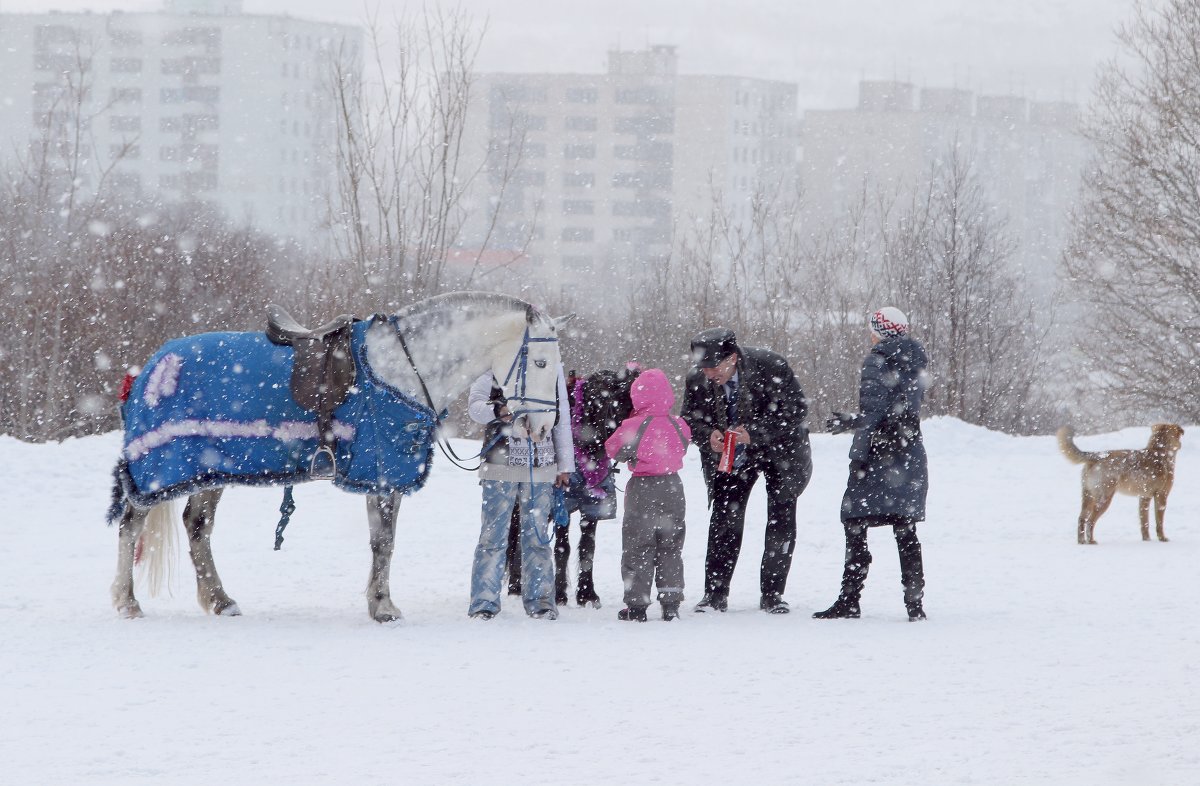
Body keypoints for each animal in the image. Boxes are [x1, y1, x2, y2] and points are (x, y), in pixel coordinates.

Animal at [108, 291, 566, 624]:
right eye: (542, 362)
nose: (544, 427)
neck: (403, 368)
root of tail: (148, 369)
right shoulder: (382, 472)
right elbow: (384, 542)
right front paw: (383, 607)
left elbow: (383, 542)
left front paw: (378, 603)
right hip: (161, 469)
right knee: (132, 524)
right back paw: (127, 602)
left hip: (209, 468)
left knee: (197, 525)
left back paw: (220, 600)